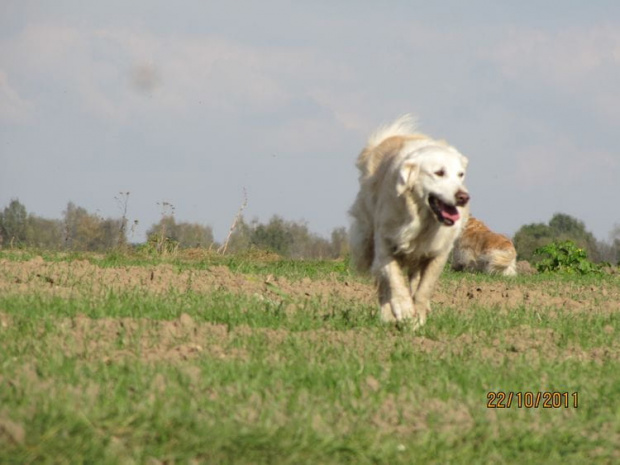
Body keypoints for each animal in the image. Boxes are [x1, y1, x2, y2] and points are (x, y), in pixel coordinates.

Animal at [348, 115, 470, 326]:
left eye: (460, 174)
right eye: (439, 173)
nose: (464, 197)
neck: (422, 219)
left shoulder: (439, 252)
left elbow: (424, 288)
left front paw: (417, 317)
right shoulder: (385, 243)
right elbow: (394, 279)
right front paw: (403, 309)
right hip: (368, 237)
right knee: (383, 285)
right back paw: (387, 316)